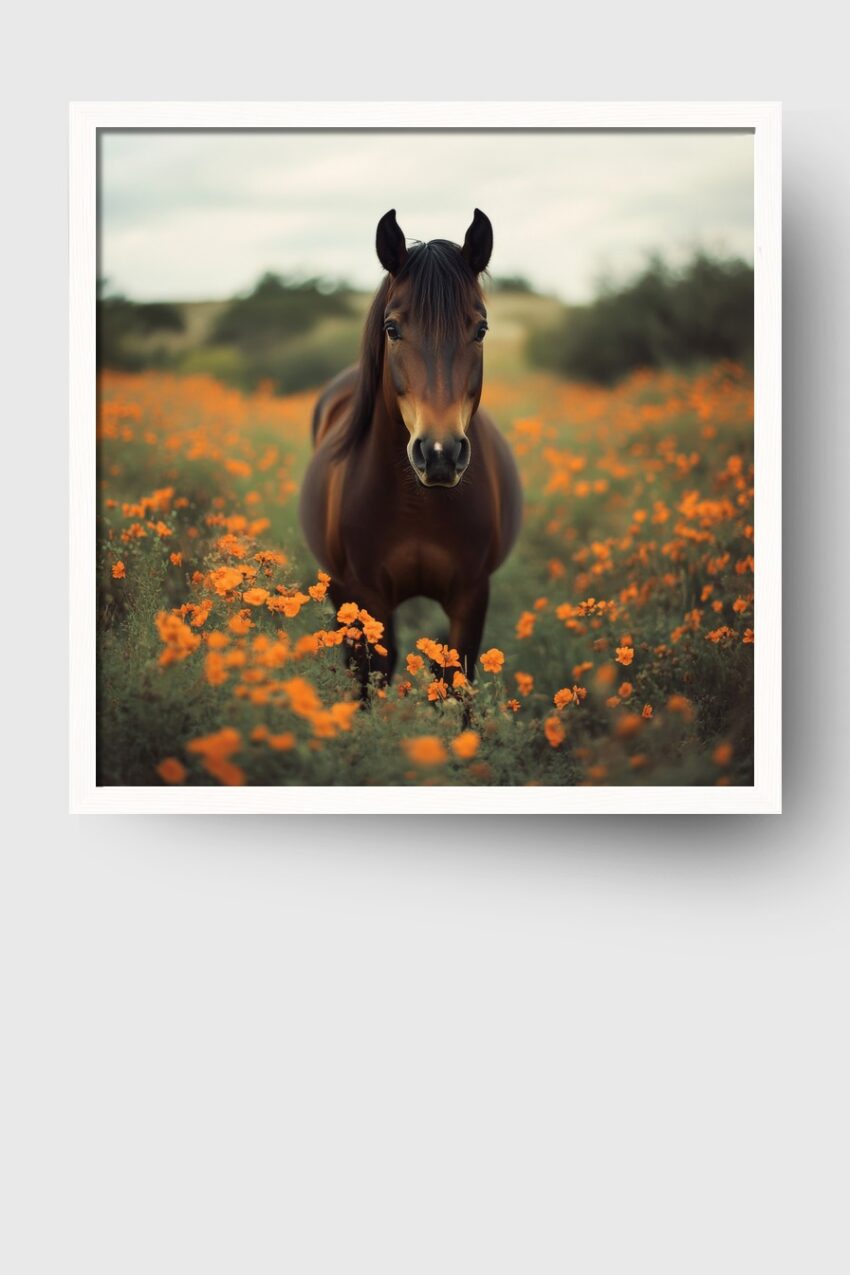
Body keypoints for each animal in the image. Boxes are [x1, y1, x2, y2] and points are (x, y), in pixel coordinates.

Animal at [299, 208, 522, 689]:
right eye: (392, 328)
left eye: (481, 329)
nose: (439, 454)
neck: (419, 505)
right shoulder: (366, 598)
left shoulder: (470, 596)